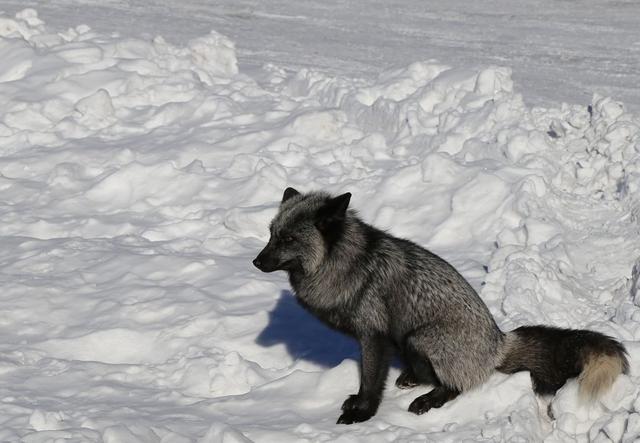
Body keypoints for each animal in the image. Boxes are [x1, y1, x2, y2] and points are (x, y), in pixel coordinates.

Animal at [252, 187, 628, 424]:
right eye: (271, 233)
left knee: (456, 386)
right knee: (428, 374)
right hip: (408, 341)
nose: (255, 262)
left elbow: (370, 381)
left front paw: (362, 413)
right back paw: (411, 379)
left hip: (420, 338)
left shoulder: (373, 335)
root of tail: (499, 342)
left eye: (288, 239)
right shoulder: (379, 338)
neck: (348, 264)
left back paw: (428, 399)